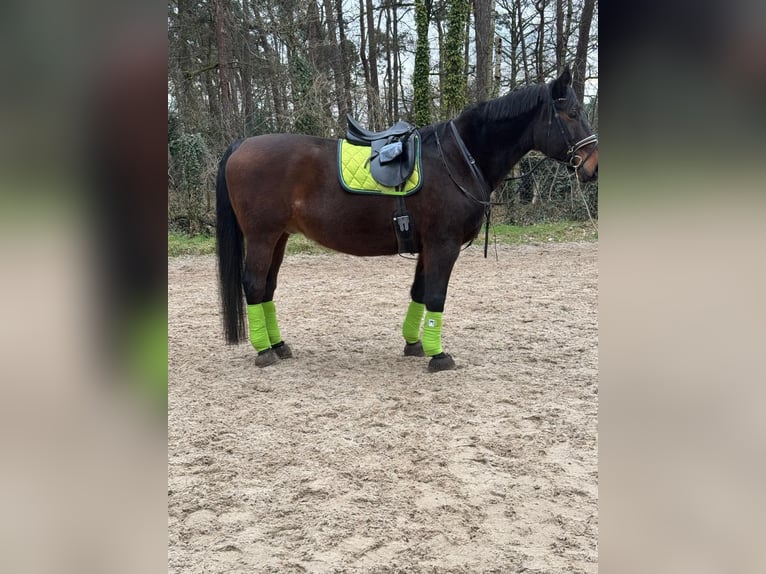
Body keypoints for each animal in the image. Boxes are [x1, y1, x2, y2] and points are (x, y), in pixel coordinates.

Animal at [216, 68, 600, 374]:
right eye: (572, 113)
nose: (593, 166)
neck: (458, 159)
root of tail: (241, 145)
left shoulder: (428, 247)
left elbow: (419, 292)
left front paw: (415, 344)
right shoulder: (444, 245)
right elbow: (436, 296)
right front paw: (438, 355)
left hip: (279, 237)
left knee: (267, 288)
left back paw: (278, 345)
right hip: (262, 237)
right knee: (254, 285)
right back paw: (264, 351)